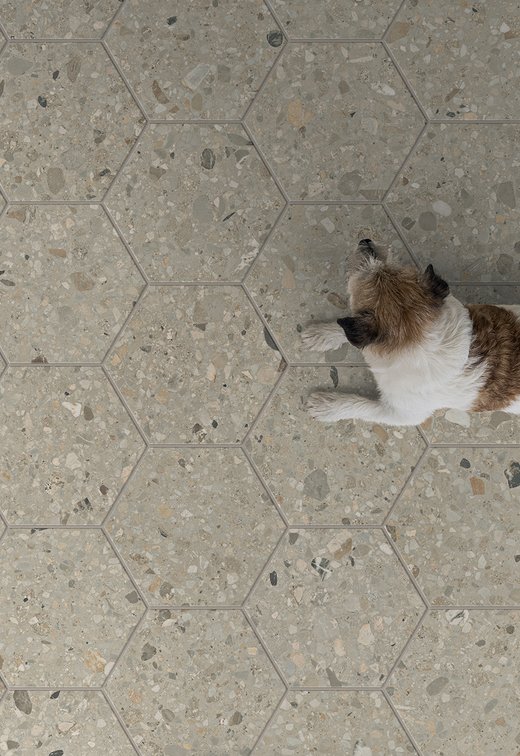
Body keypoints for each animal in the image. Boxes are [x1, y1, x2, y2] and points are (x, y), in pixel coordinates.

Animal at [302, 238, 520, 427]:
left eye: (362, 275)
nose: (366, 241)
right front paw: (322, 334)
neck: (419, 334)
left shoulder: (400, 413)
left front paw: (329, 405)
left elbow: (360, 405)